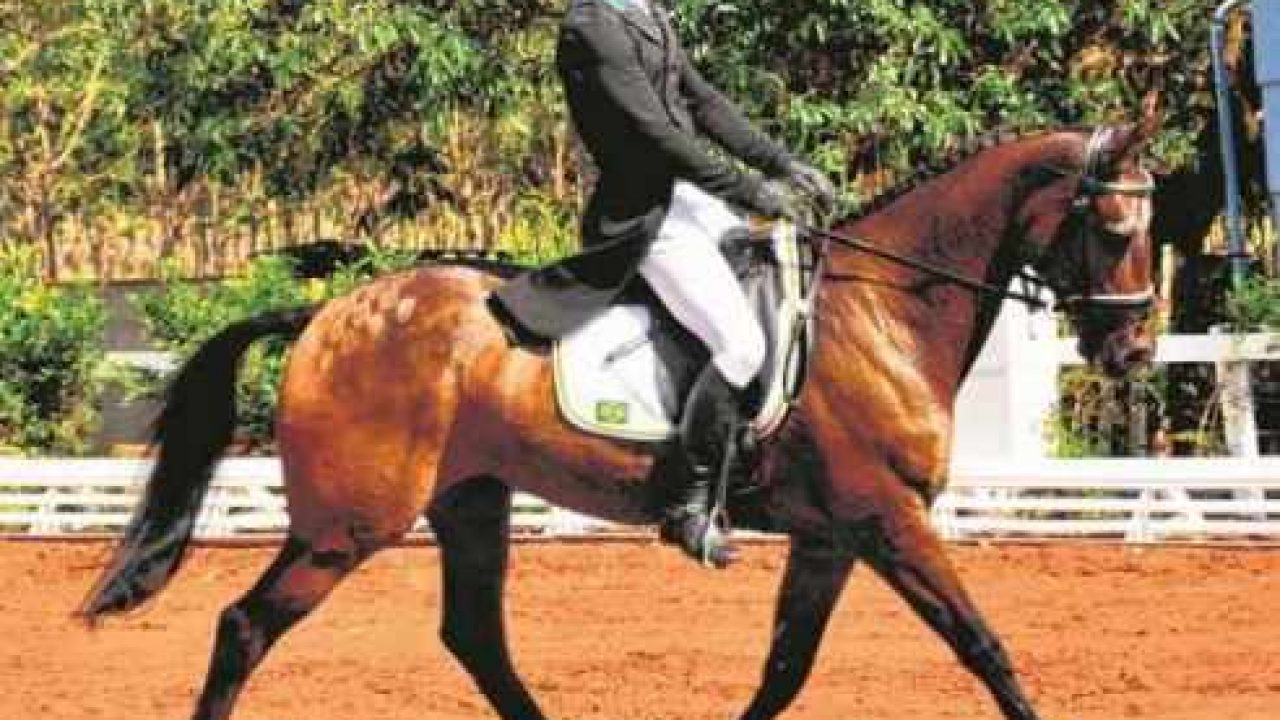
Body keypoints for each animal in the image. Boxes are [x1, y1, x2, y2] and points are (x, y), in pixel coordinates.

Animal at [80, 106, 1162, 717]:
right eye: (1115, 228)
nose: (1134, 352)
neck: (881, 312)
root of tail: (327, 313)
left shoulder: (830, 536)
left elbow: (783, 671)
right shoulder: (884, 521)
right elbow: (982, 646)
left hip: (469, 502)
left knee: (475, 639)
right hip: (350, 524)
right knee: (243, 628)